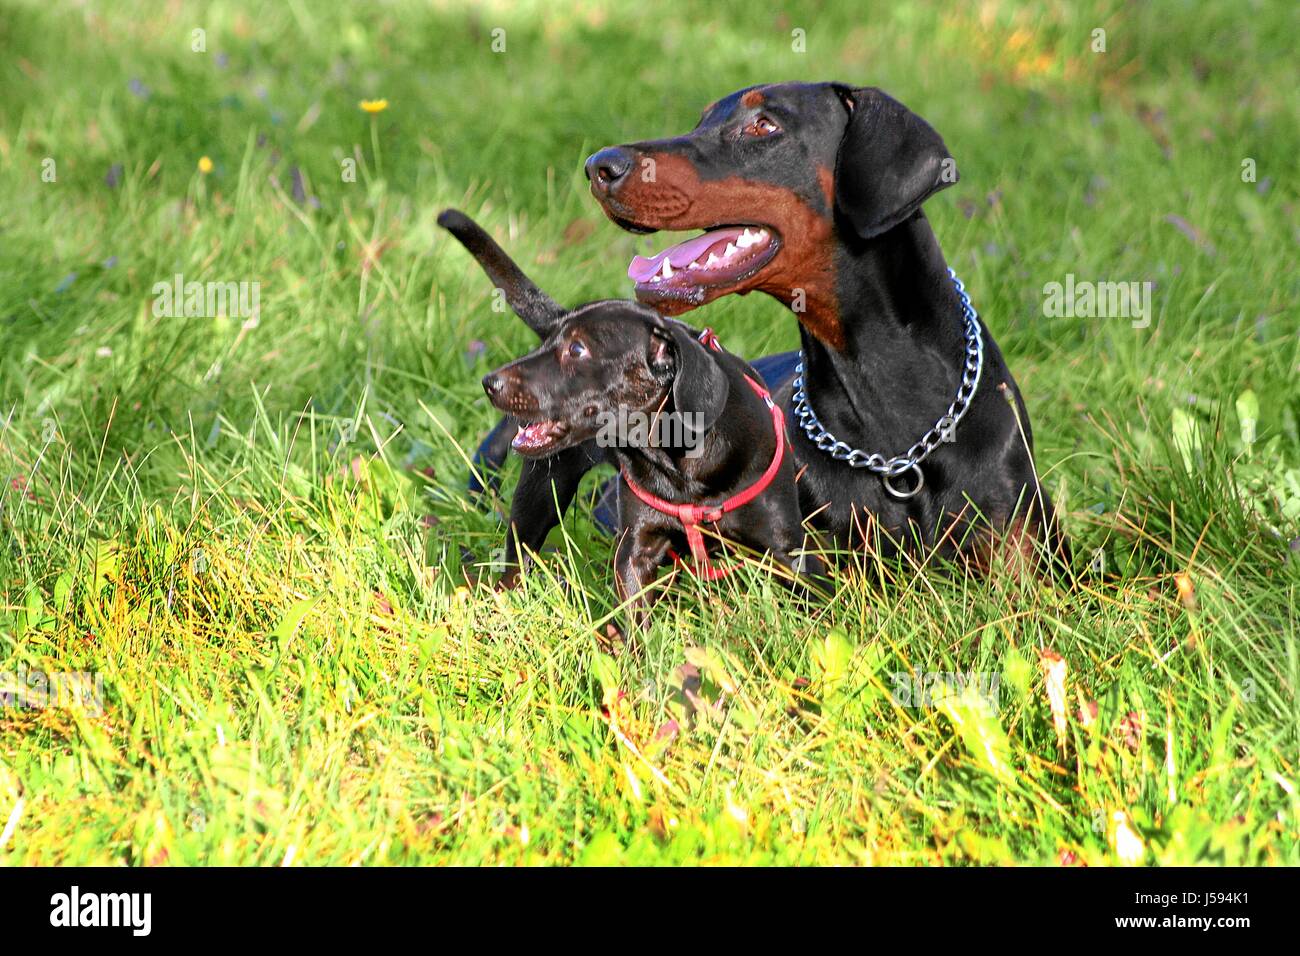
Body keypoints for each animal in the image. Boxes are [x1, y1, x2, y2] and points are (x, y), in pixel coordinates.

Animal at [436, 210, 821, 629]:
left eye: (577, 349)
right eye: (547, 343)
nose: (490, 383)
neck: (679, 463)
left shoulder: (789, 549)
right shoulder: (637, 548)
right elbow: (636, 615)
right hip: (539, 495)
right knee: (516, 561)